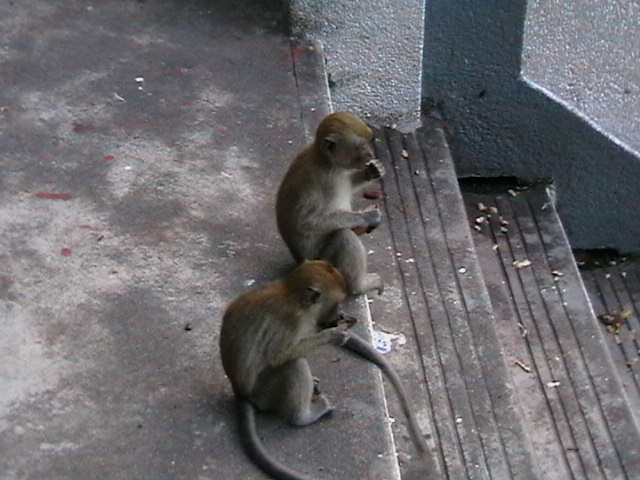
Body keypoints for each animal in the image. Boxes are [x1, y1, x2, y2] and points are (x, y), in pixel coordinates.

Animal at [218, 262, 432, 480]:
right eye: (336, 303)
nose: (340, 312)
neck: (294, 299)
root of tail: (241, 393)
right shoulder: (293, 321)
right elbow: (280, 355)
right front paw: (333, 335)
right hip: (263, 392)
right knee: (292, 365)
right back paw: (304, 416)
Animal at [276, 111, 384, 296]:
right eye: (362, 146)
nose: (371, 154)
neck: (327, 161)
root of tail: (300, 262)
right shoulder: (327, 180)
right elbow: (305, 222)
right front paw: (368, 216)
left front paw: (372, 171)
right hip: (324, 262)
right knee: (344, 236)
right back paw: (358, 287)